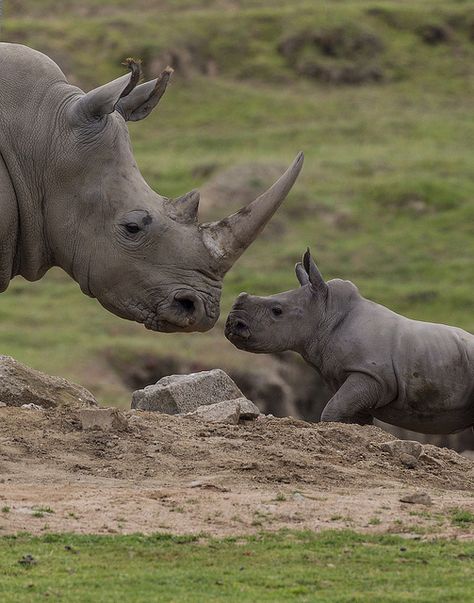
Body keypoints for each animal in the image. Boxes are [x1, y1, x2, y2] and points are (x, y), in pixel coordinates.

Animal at [227, 249, 474, 434]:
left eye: (277, 311)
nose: (231, 325)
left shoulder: (371, 375)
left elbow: (332, 410)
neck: (326, 314)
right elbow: (352, 416)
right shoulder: (358, 380)